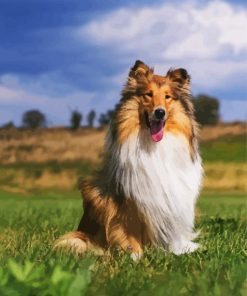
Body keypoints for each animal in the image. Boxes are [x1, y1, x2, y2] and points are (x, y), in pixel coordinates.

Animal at [55, 60, 204, 260]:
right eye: (148, 94)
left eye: (167, 97)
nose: (160, 112)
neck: (154, 145)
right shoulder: (129, 200)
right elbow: (129, 230)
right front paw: (135, 256)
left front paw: (179, 250)